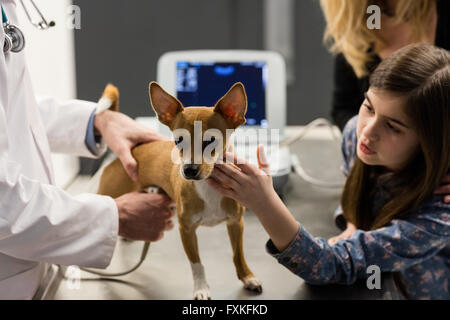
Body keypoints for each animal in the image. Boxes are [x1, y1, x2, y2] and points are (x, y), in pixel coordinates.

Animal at [96, 81, 262, 298]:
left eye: (211, 141)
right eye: (178, 141)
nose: (189, 170)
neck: (207, 185)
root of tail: (130, 151)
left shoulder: (235, 223)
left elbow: (238, 254)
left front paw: (247, 277)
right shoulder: (187, 230)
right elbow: (197, 264)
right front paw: (201, 288)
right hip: (109, 195)